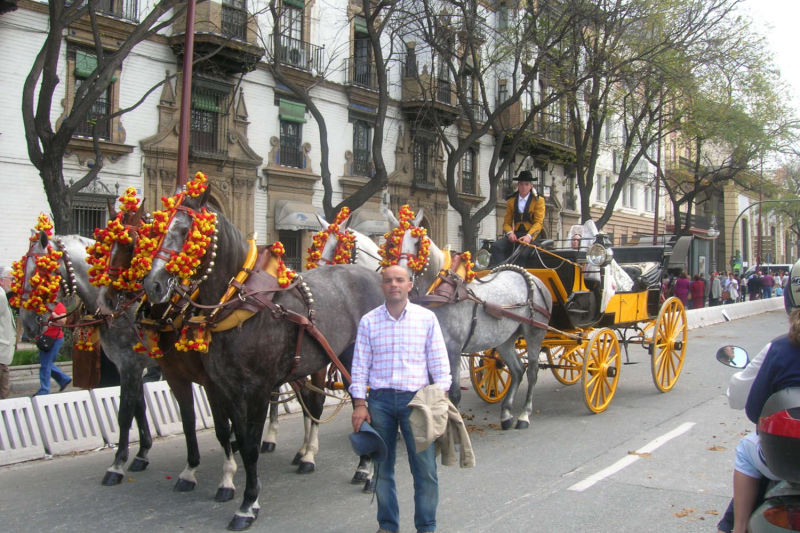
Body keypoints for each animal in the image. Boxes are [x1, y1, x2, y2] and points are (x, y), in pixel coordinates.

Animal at [141, 187, 384, 528]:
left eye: (186, 231)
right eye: (159, 231)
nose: (154, 284)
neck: (240, 302)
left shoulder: (255, 389)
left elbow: (251, 445)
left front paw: (246, 504)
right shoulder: (226, 388)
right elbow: (239, 441)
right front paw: (243, 494)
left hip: (351, 361)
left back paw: (366, 468)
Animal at [386, 208, 552, 428]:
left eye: (418, 242)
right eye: (392, 243)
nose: (401, 277)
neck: (440, 291)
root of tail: (534, 279)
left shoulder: (453, 349)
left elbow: (454, 394)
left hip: (534, 333)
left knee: (532, 372)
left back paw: (524, 415)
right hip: (505, 338)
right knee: (517, 370)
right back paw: (506, 414)